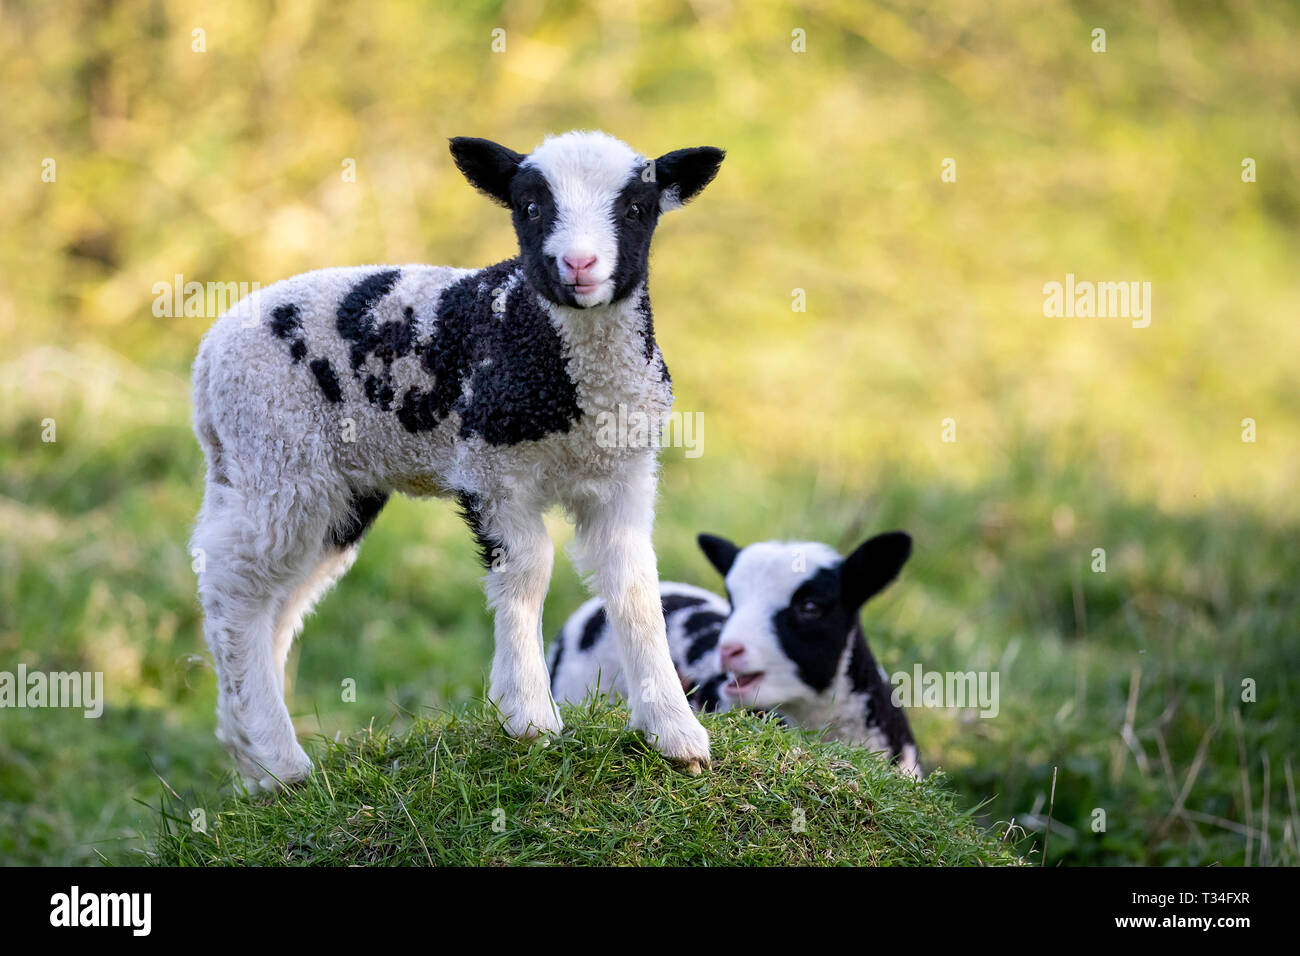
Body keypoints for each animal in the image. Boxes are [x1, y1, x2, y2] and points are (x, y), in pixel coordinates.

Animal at [190, 130, 726, 789]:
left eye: (636, 209)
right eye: (530, 207)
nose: (578, 265)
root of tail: (209, 357)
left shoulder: (623, 478)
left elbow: (636, 588)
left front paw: (676, 735)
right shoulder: (493, 471)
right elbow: (529, 569)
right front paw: (528, 716)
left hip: (324, 488)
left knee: (278, 600)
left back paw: (257, 765)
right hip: (277, 456)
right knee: (234, 587)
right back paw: (276, 755)